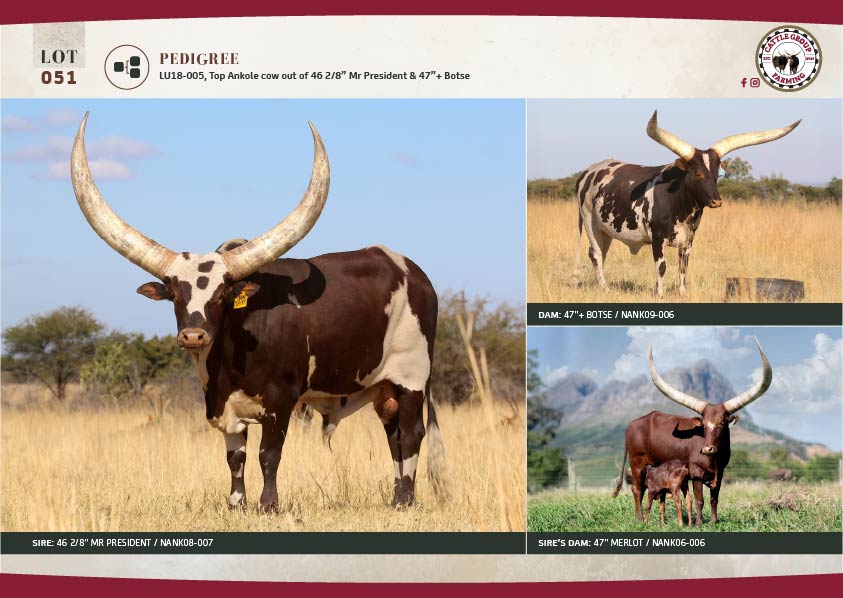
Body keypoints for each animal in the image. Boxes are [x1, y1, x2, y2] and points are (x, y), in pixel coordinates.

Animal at [70, 114, 446, 512]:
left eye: (222, 294)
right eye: (173, 293)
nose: (193, 335)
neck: (228, 362)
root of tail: (416, 274)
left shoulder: (281, 399)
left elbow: (269, 453)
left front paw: (269, 505)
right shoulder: (225, 407)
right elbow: (235, 457)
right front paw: (237, 503)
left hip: (412, 378)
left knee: (411, 434)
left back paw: (404, 501)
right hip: (383, 389)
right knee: (393, 436)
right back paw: (397, 497)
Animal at [573, 111, 800, 297]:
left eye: (717, 174)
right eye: (698, 173)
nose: (717, 201)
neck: (682, 207)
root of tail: (590, 170)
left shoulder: (690, 239)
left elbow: (683, 267)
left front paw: (682, 293)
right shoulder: (658, 238)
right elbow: (661, 267)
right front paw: (660, 294)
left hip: (606, 230)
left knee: (601, 253)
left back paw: (601, 284)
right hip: (589, 221)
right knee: (596, 254)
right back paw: (605, 287)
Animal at [612, 338, 772, 526]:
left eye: (722, 423)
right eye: (704, 425)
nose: (707, 449)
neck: (715, 459)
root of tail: (632, 424)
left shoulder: (720, 474)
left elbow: (714, 499)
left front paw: (714, 521)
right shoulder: (696, 475)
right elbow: (699, 500)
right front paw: (698, 523)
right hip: (636, 464)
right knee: (637, 489)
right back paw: (638, 519)